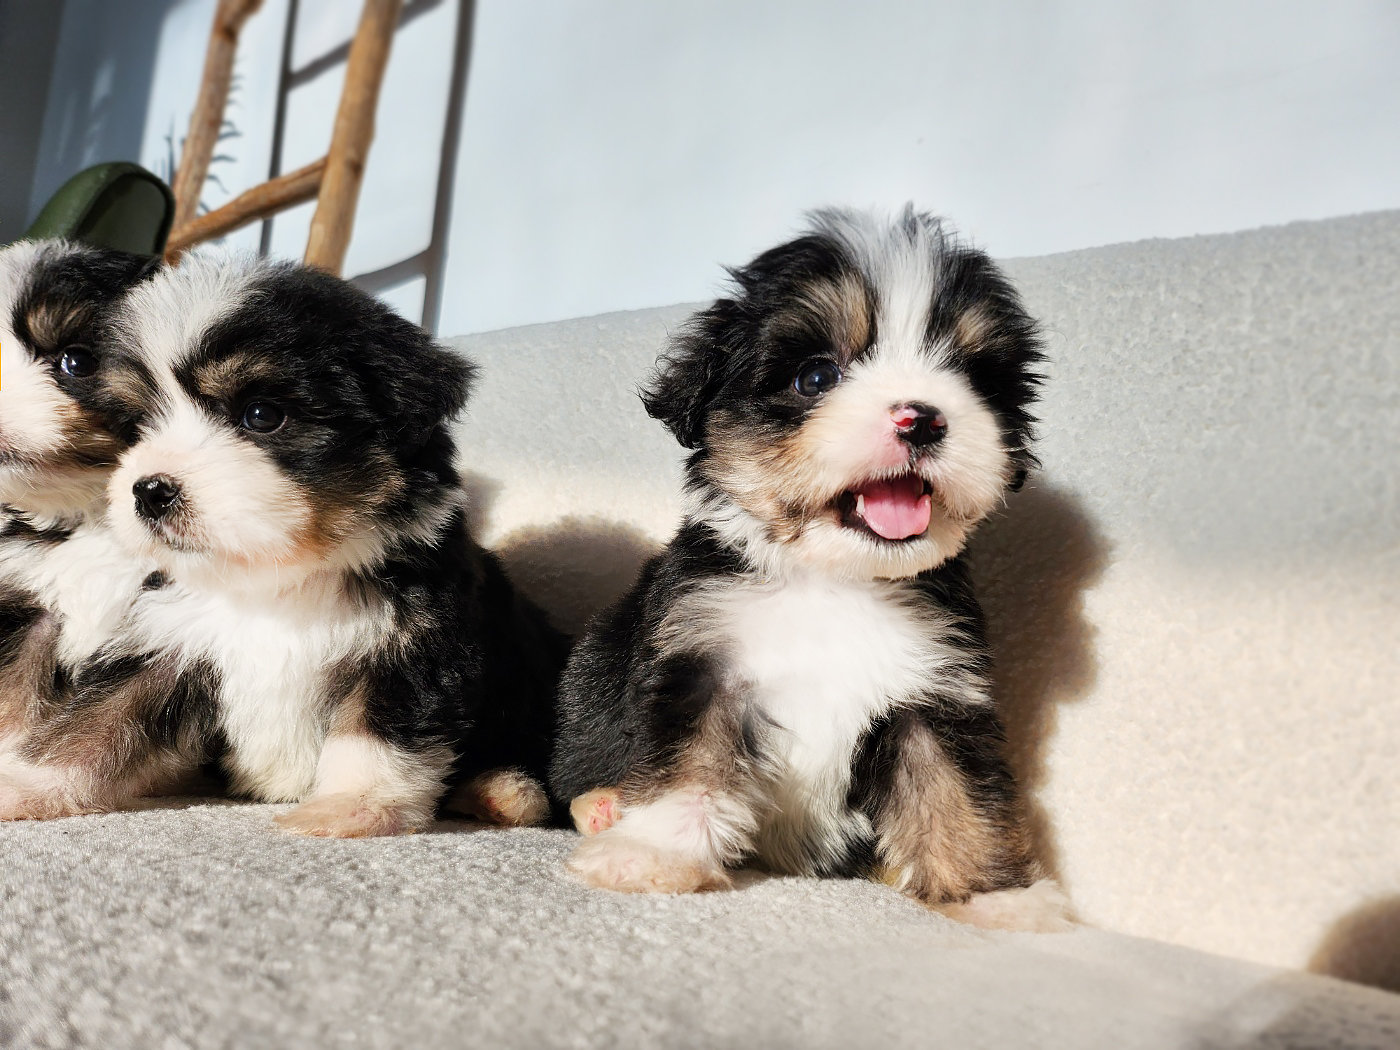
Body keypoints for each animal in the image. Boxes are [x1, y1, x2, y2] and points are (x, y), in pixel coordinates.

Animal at [548, 208, 1072, 930]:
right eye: (816, 377)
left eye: (971, 377)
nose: (923, 418)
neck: (834, 583)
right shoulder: (703, 661)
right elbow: (689, 761)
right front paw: (653, 853)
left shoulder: (933, 693)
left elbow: (957, 793)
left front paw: (994, 896)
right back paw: (602, 807)